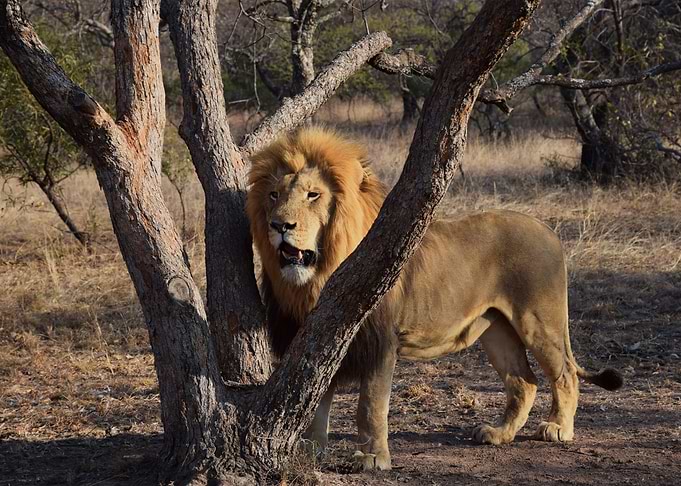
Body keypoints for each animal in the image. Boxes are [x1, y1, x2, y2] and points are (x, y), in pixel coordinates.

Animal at [246, 127, 623, 471]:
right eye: (274, 195)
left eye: (313, 195)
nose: (280, 225)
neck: (315, 280)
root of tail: (548, 229)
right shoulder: (315, 339)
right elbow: (315, 403)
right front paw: (309, 452)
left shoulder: (381, 342)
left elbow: (370, 405)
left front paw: (373, 458)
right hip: (497, 331)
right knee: (523, 382)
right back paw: (499, 433)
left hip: (539, 321)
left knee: (565, 374)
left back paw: (558, 428)